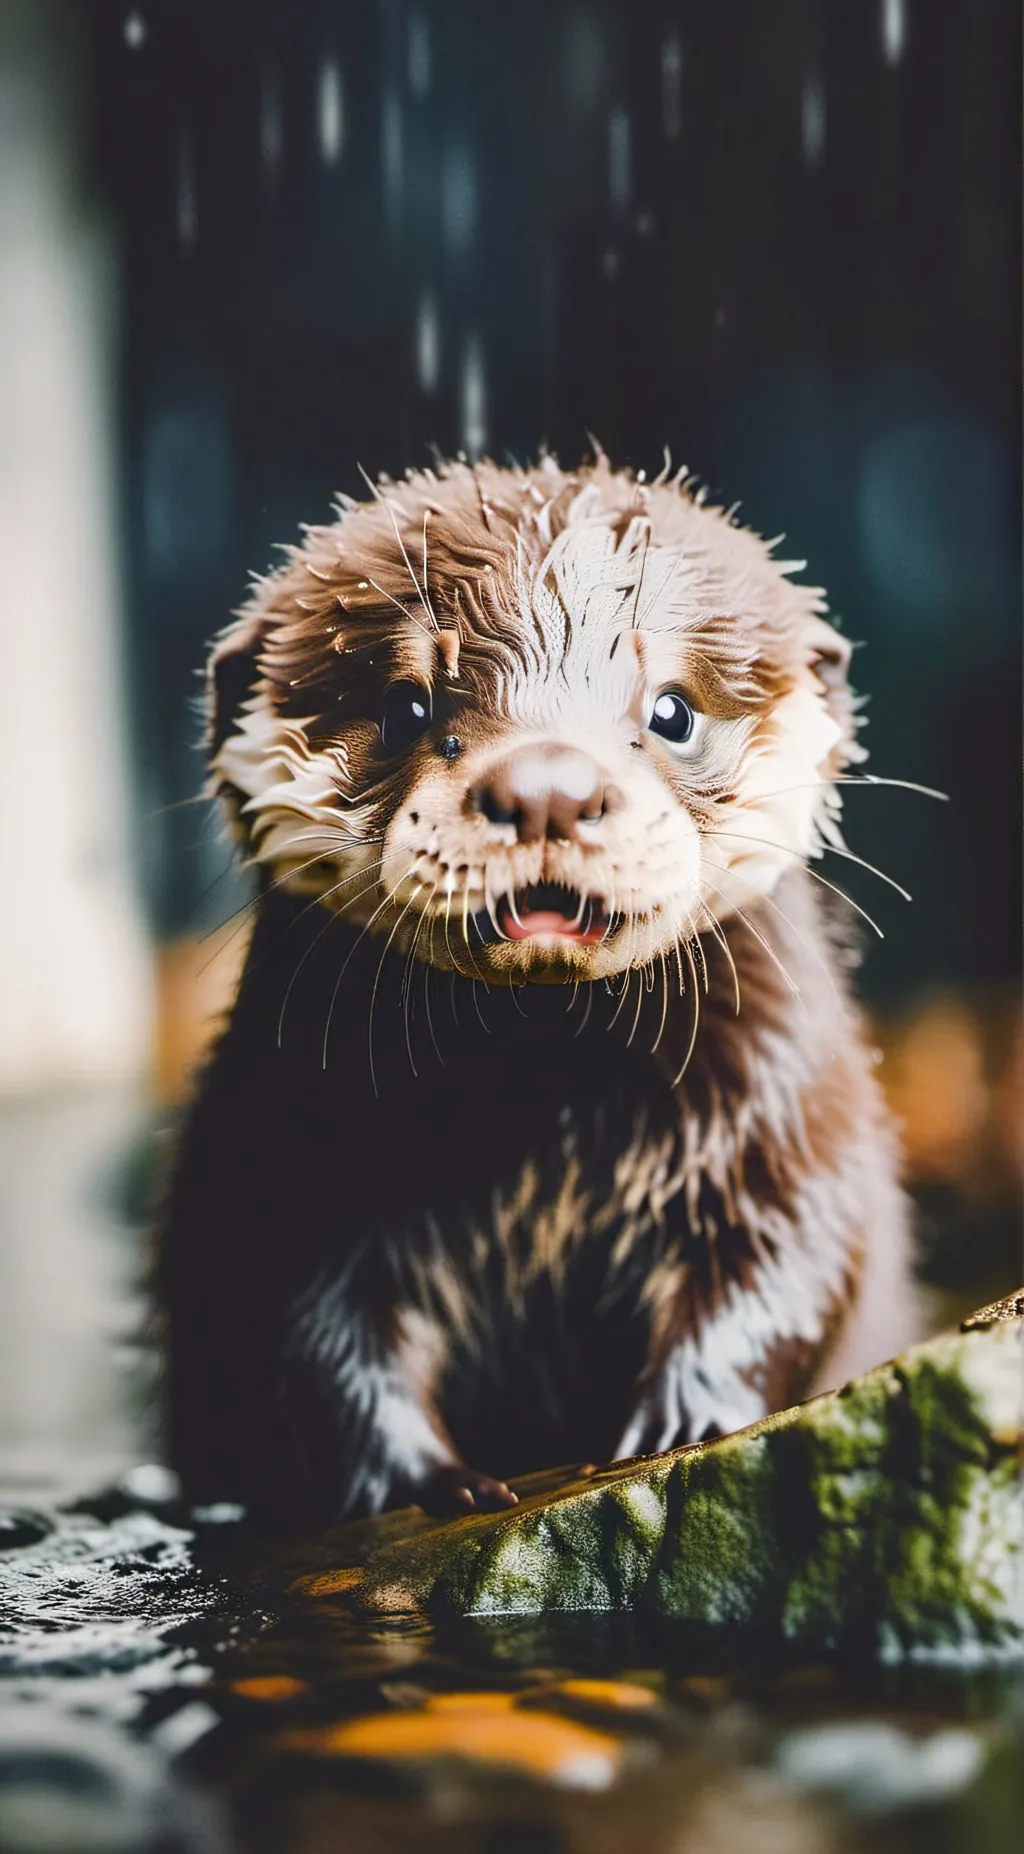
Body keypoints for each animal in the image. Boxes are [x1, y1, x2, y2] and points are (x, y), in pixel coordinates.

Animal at [159, 453, 917, 1523]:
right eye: (406, 707)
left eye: (671, 710)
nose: (549, 787)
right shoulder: (281, 1151)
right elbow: (303, 1339)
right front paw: (437, 1481)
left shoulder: (791, 1116)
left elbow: (796, 1253)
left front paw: (685, 1419)